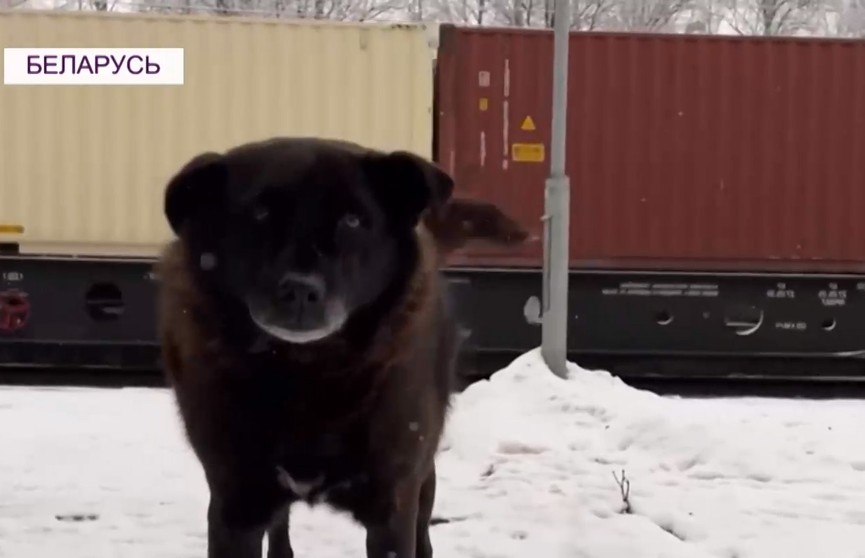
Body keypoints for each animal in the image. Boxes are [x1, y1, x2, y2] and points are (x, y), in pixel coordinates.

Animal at [156, 138, 528, 558]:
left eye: (352, 221)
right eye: (260, 213)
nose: (301, 290)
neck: (306, 373)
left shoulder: (393, 501)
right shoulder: (235, 503)